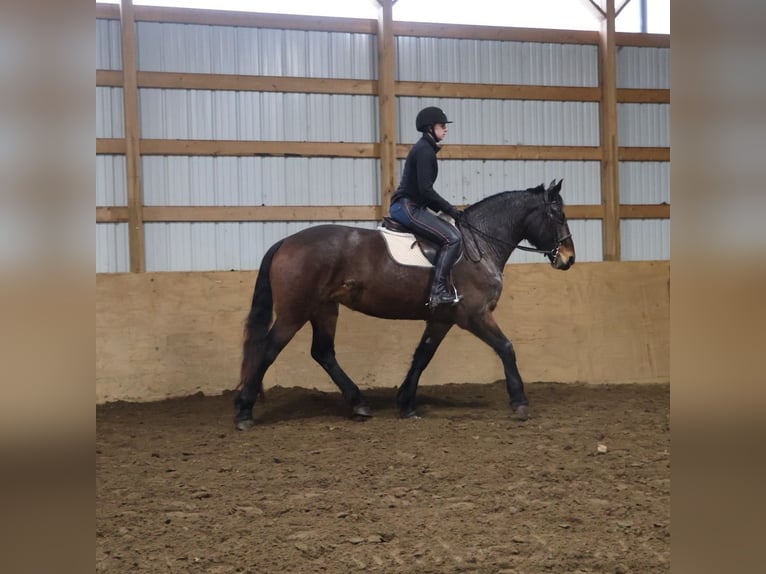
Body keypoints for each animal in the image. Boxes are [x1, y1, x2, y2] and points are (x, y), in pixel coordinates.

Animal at [234, 179, 575, 429]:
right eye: (557, 215)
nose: (568, 259)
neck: (479, 244)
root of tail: (285, 243)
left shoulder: (442, 319)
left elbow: (422, 356)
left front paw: (406, 403)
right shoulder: (475, 315)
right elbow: (506, 347)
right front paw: (520, 402)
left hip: (325, 309)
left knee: (323, 352)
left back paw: (359, 404)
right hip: (294, 313)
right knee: (268, 350)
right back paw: (244, 412)